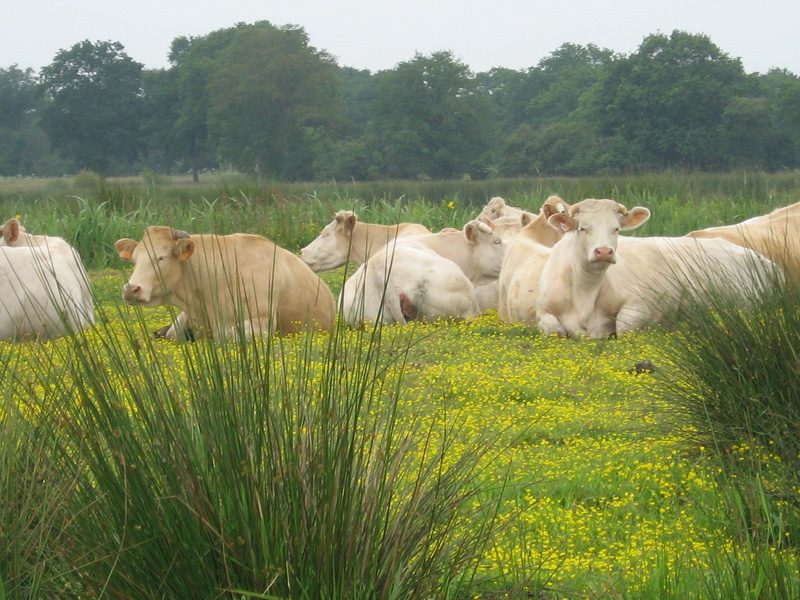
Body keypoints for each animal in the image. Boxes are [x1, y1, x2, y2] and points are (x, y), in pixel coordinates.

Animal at [536, 199, 779, 338]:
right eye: (583, 228)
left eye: (616, 229)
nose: (604, 251)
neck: (585, 292)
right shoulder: (544, 311)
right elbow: (553, 329)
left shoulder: (644, 304)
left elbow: (624, 326)